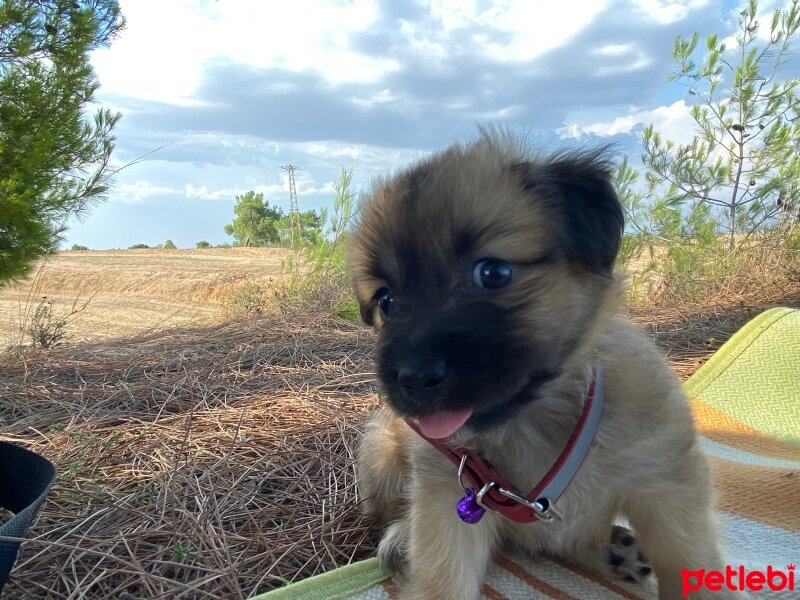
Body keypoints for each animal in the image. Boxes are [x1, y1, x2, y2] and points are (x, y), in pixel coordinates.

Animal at [346, 132, 736, 600]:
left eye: (493, 273)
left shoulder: (669, 488)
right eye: (386, 300)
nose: (414, 376)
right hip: (383, 451)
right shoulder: (446, 502)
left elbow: (692, 563)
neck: (532, 423)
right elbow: (442, 578)